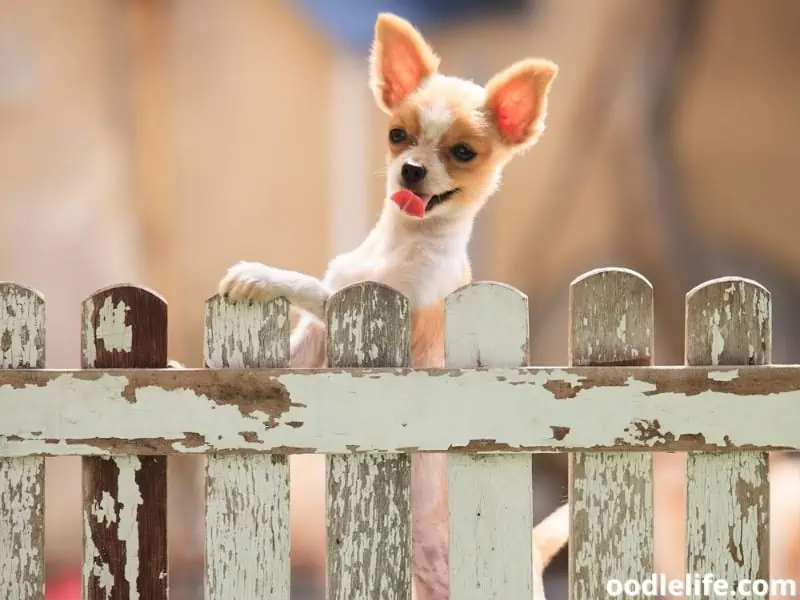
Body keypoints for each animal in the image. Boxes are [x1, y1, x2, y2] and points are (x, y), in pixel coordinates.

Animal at [219, 14, 564, 600]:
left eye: (463, 153)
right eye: (397, 136)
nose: (411, 170)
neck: (401, 244)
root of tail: (533, 559)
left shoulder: (364, 310)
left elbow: (309, 284)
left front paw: (258, 274)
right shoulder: (316, 342)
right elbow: (295, 343)